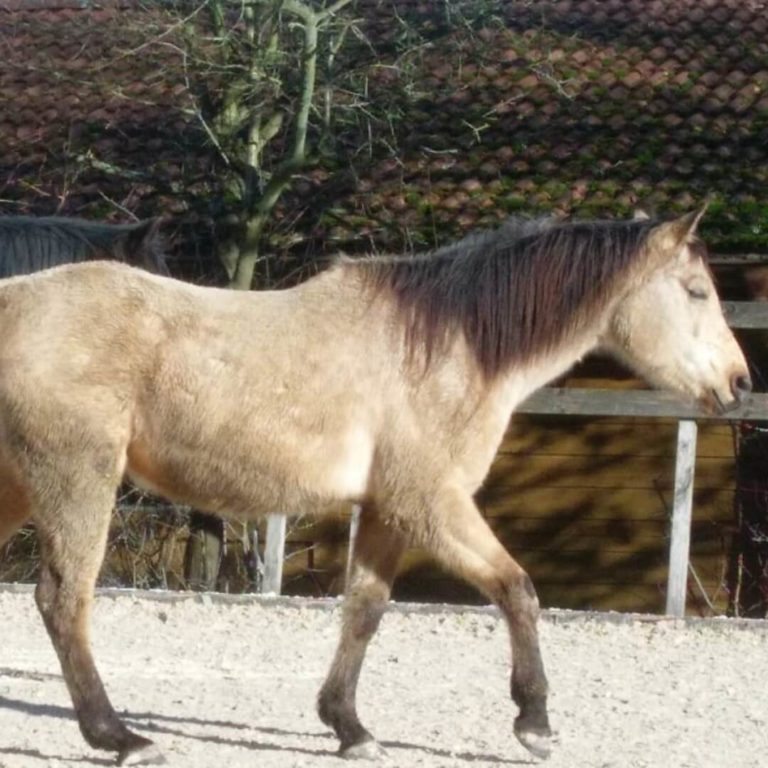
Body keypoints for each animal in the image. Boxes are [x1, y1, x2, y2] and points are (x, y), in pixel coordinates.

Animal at [0, 210, 751, 765]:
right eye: (696, 291)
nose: (740, 383)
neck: (446, 347)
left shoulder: (387, 511)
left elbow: (365, 609)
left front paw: (349, 727)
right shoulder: (430, 504)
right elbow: (517, 589)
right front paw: (535, 722)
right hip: (77, 480)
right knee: (63, 601)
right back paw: (120, 737)